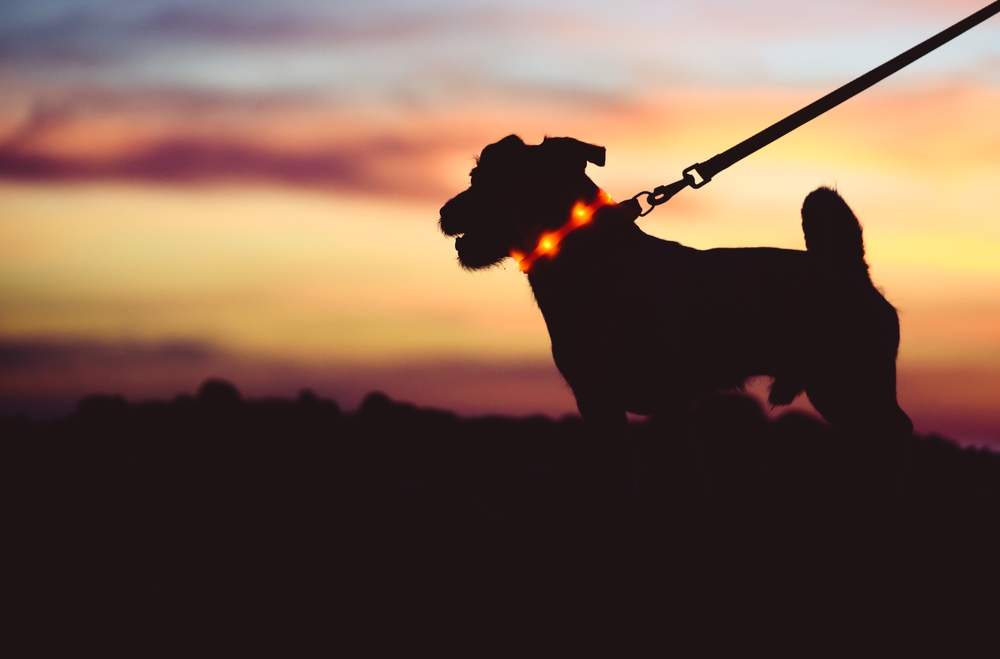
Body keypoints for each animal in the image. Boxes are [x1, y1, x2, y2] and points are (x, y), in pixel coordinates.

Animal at [440, 133, 916, 462]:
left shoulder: (671, 405)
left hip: (854, 387)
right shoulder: (597, 403)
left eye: (490, 182)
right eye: (474, 177)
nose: (444, 212)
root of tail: (850, 268)